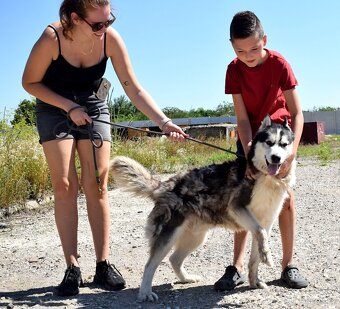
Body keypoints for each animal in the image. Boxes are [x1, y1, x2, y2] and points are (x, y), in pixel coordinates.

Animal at [111, 115, 294, 300]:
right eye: (269, 143)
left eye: (284, 145)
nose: (276, 158)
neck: (266, 178)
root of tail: (165, 185)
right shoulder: (238, 208)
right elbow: (260, 232)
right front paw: (266, 257)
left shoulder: (265, 222)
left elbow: (255, 257)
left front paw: (255, 280)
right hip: (168, 236)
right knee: (150, 265)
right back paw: (145, 293)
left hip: (196, 238)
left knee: (174, 259)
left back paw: (186, 278)